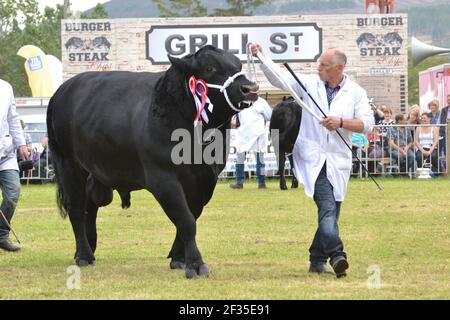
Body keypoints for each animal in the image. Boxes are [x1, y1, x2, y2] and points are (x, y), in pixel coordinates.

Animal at [47, 45, 258, 278]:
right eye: (210, 67)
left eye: (238, 65)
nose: (250, 88)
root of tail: (61, 91)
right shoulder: (163, 179)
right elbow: (186, 220)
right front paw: (195, 264)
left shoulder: (205, 180)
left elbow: (191, 216)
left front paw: (179, 259)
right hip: (69, 164)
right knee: (76, 207)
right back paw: (84, 255)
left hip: (96, 170)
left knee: (90, 205)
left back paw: (87, 249)